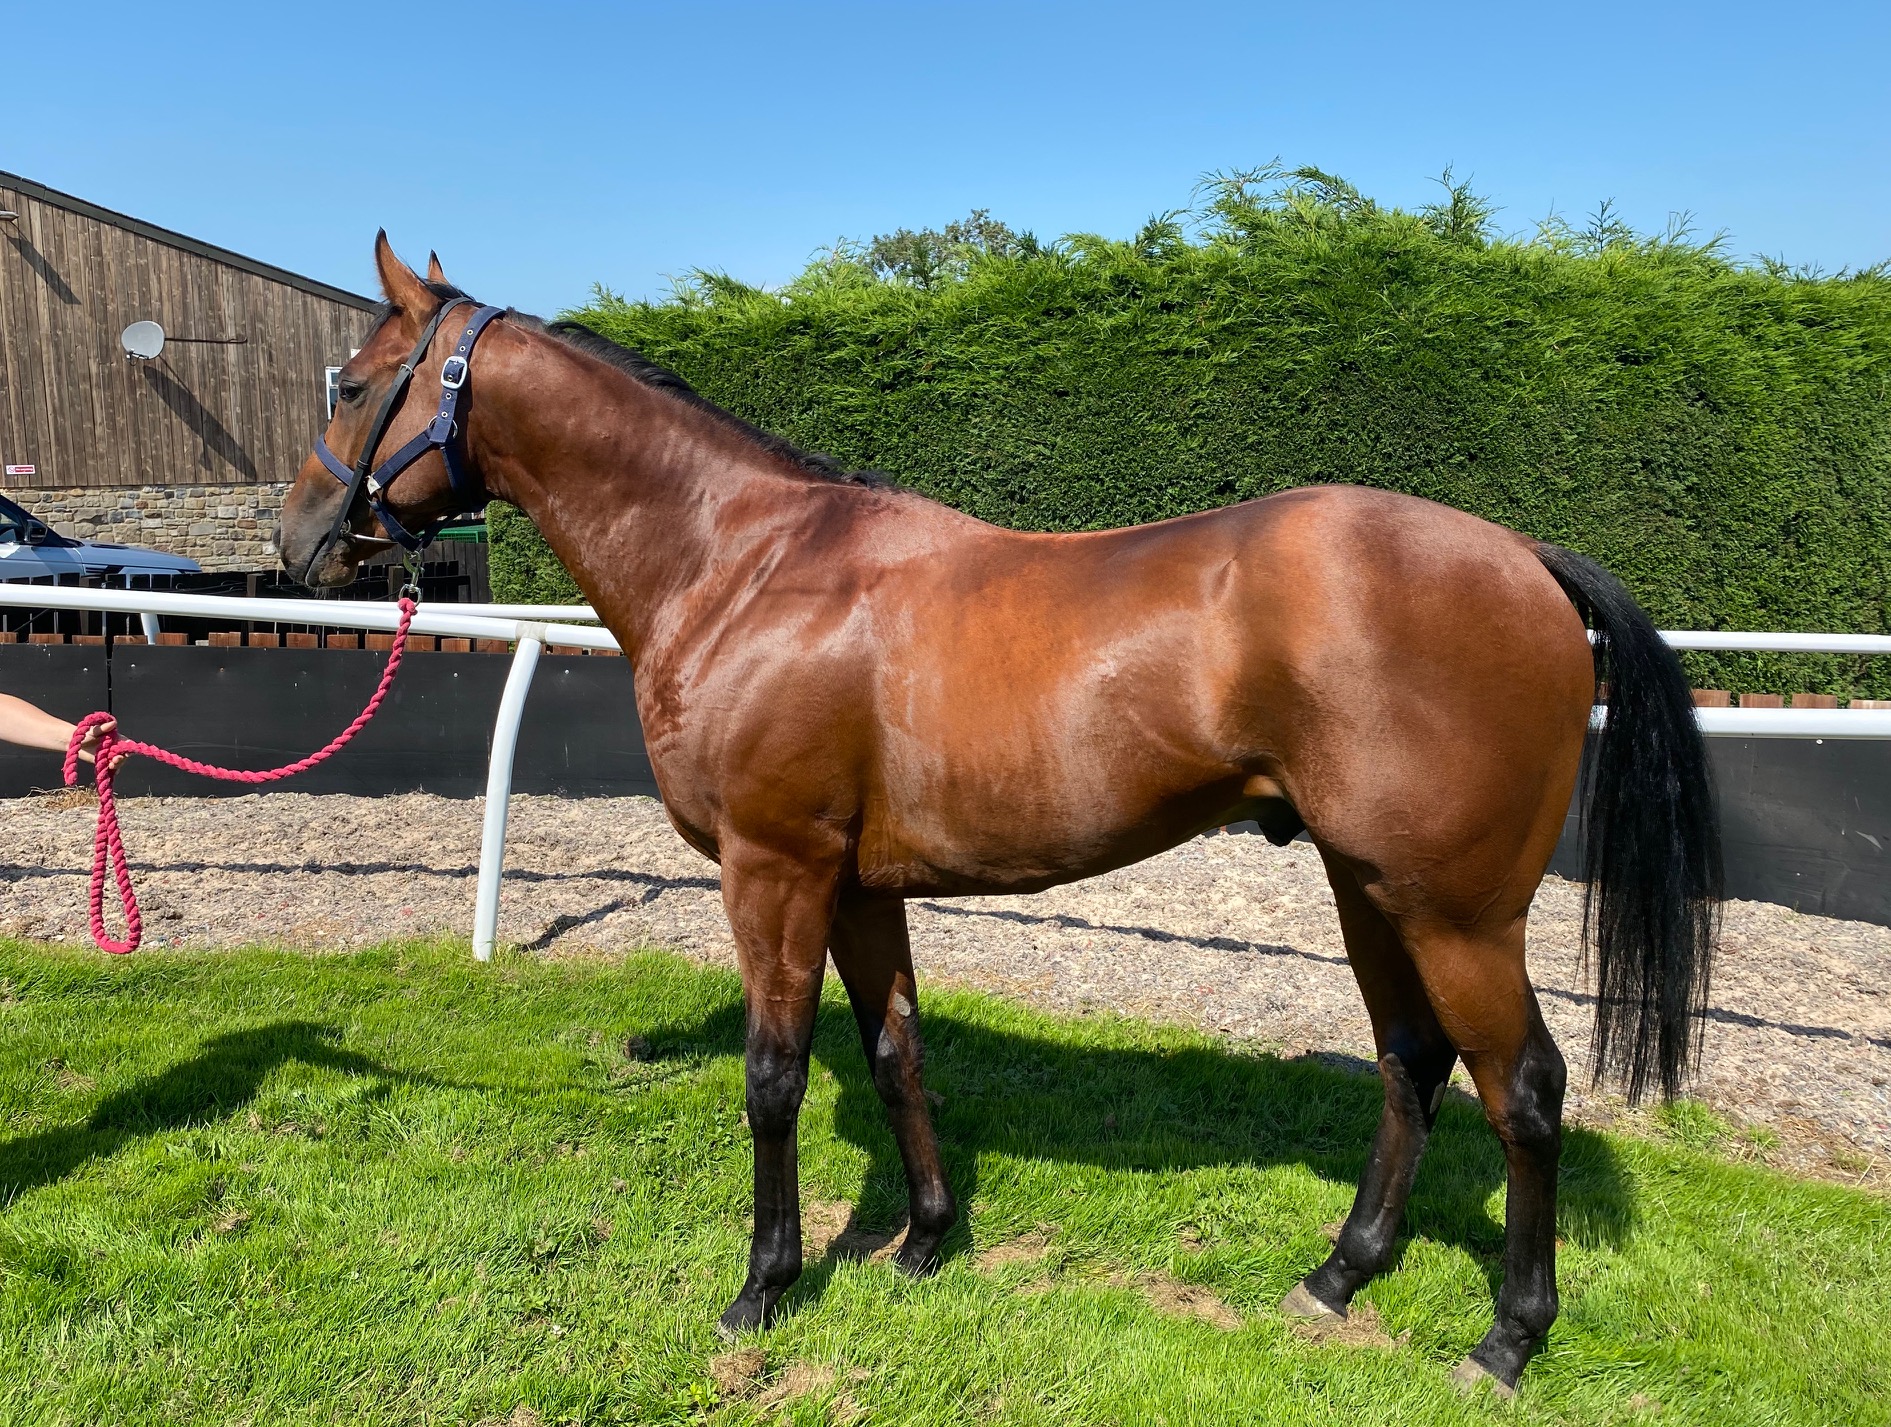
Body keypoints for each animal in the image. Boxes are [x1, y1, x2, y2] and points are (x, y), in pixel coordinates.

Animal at [277, 236, 1720, 1394]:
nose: (296, 540)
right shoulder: (858, 883)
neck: (743, 564)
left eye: (350, 382)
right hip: (1368, 886)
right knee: (1411, 1061)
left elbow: (772, 1073)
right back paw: (1337, 1273)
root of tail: (1523, 559)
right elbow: (895, 1049)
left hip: (1457, 910)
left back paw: (1507, 1337)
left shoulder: (773, 869)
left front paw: (763, 1283)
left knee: (1523, 1089)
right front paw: (921, 1237)